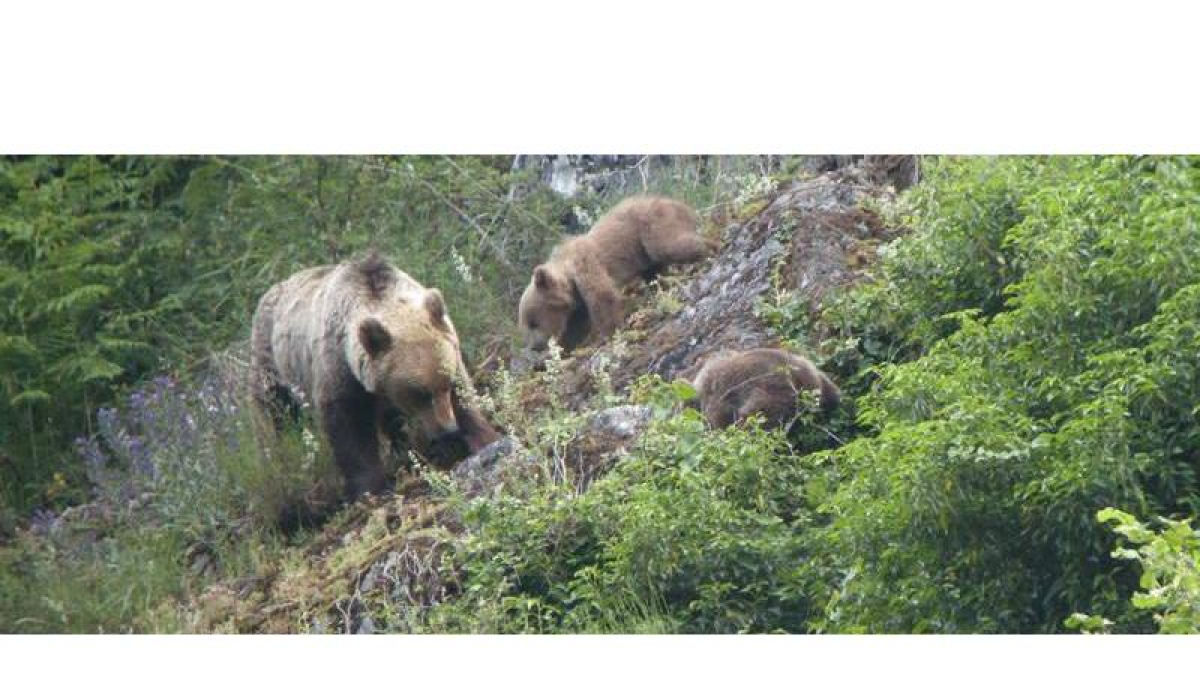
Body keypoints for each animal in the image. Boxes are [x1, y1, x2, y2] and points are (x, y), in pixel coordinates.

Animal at [250, 252, 501, 500]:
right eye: (419, 392)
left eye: (446, 384)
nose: (449, 430)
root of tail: (271, 290)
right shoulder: (339, 369)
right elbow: (349, 427)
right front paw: (368, 487)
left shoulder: (447, 349)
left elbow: (464, 397)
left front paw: (483, 438)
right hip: (271, 361)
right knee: (275, 412)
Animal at [518, 195, 712, 354]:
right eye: (527, 323)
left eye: (533, 322)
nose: (535, 347)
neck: (569, 276)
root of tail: (680, 204)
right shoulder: (576, 303)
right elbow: (576, 324)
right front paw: (568, 347)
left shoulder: (586, 266)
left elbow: (604, 297)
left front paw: (604, 335)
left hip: (652, 225)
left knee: (670, 246)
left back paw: (710, 247)